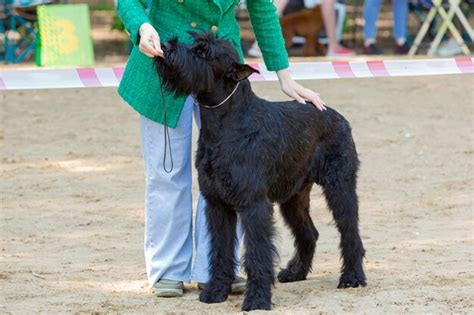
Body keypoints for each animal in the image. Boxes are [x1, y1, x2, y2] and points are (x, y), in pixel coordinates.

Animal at [156, 30, 366, 312]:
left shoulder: (253, 204)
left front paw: (257, 299)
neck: (225, 125)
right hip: (293, 197)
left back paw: (352, 277)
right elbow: (219, 250)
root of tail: (337, 116)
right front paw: (216, 291)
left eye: (203, 51)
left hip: (340, 186)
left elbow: (256, 253)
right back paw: (295, 271)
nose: (165, 46)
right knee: (309, 232)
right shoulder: (217, 204)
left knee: (350, 231)